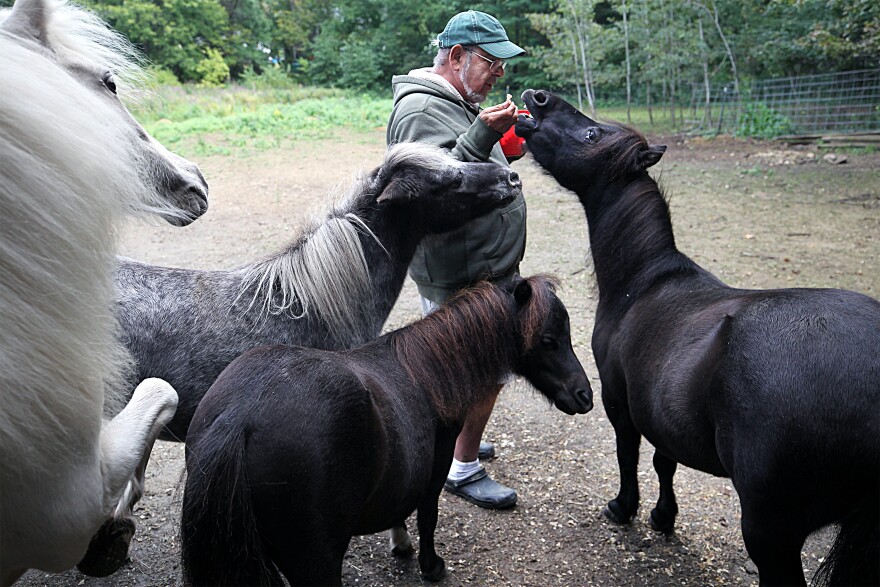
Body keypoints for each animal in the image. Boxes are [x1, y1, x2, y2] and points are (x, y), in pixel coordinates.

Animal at [179, 274, 593, 586]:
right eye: (548, 340)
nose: (584, 395)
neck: (427, 370)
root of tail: (239, 415)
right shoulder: (436, 468)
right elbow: (427, 515)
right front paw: (430, 566)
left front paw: (401, 543)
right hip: (316, 564)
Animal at [515, 89, 880, 586]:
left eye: (592, 133)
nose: (538, 97)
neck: (644, 281)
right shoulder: (658, 413)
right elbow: (664, 462)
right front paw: (663, 517)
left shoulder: (617, 402)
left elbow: (628, 456)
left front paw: (624, 509)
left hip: (770, 533)